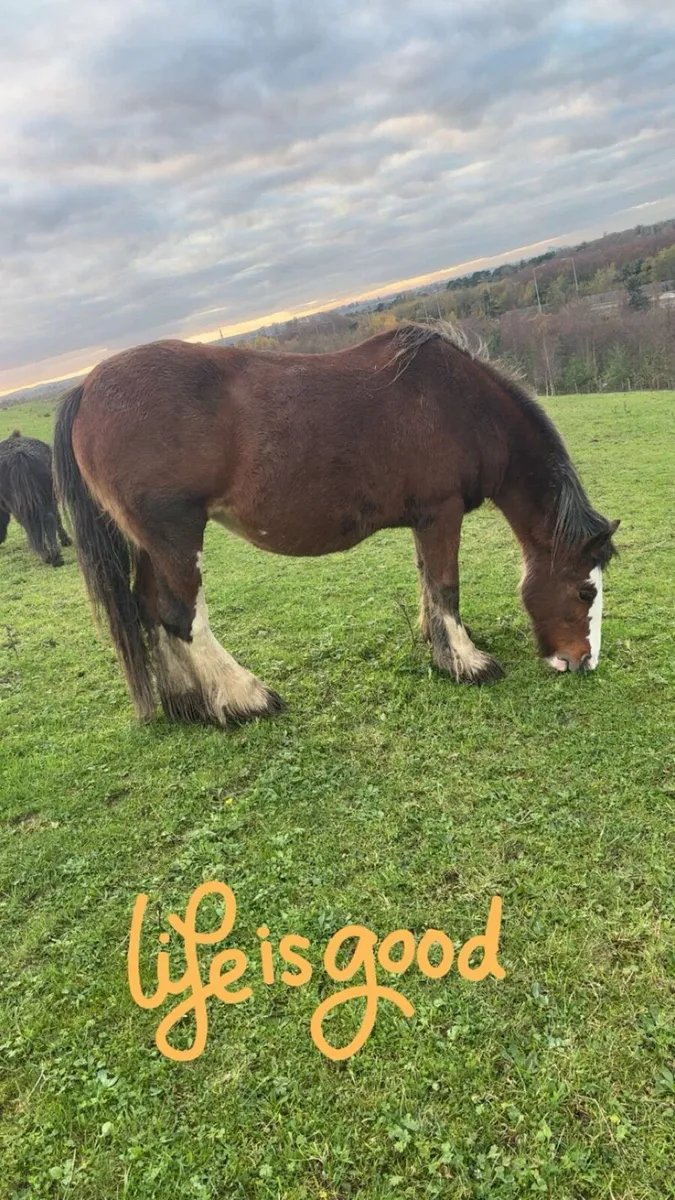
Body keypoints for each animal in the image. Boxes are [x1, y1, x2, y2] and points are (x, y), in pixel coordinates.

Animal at [53, 323, 619, 728]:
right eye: (586, 593)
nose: (583, 662)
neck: (462, 403)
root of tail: (85, 388)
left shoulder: (425, 519)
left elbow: (427, 582)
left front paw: (438, 643)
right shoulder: (442, 511)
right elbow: (446, 585)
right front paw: (466, 661)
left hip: (149, 543)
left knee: (149, 608)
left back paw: (189, 704)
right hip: (175, 535)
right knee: (180, 615)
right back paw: (244, 698)